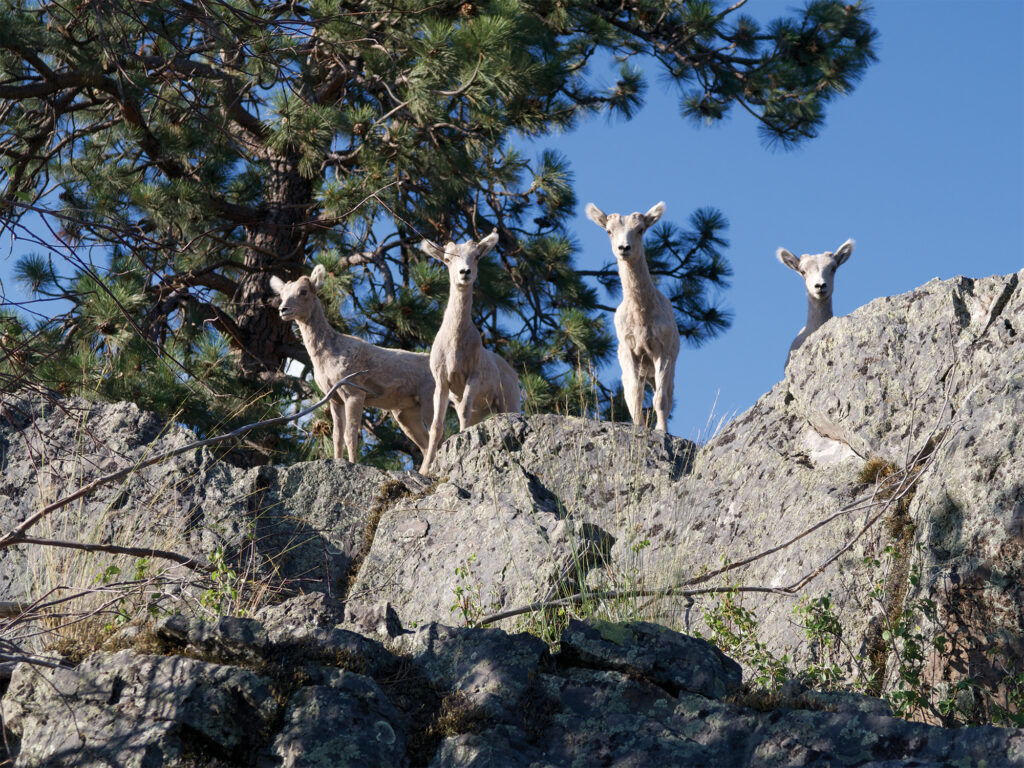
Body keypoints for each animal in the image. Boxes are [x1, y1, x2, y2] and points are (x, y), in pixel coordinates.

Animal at [419, 233, 524, 475]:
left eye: (476, 256)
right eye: (448, 259)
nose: (464, 273)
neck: (455, 347)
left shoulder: (472, 377)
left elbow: (463, 413)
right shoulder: (442, 382)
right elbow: (436, 426)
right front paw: (425, 469)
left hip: (508, 401)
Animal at [585, 202, 679, 434]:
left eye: (640, 229)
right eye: (609, 231)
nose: (624, 248)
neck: (641, 317)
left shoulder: (662, 352)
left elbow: (660, 399)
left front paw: (661, 430)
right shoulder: (631, 352)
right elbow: (634, 395)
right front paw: (639, 427)